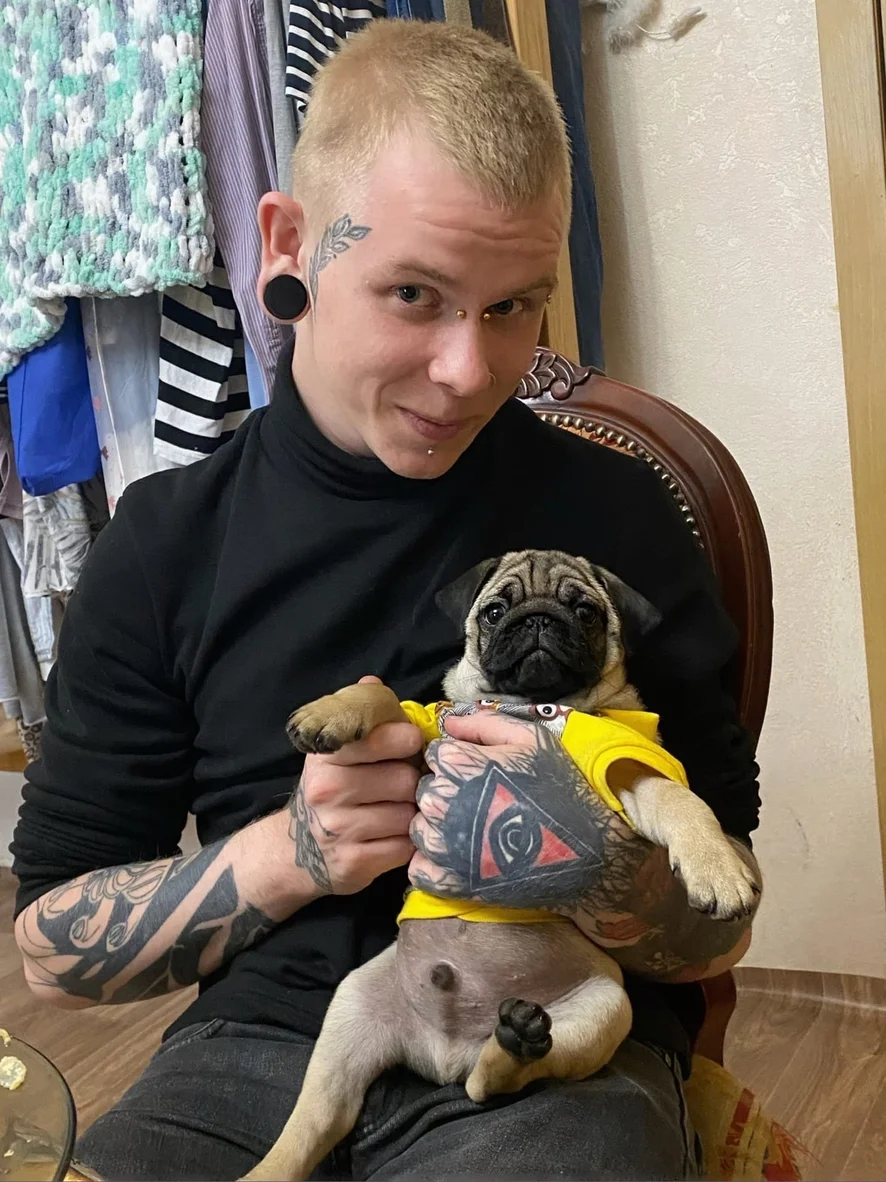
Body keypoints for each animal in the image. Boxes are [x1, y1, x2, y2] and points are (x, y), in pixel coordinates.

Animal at [242, 550, 760, 1181]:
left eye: (585, 611)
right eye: (494, 611)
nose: (537, 619)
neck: (528, 708)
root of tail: (443, 1051)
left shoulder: (626, 766)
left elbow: (678, 798)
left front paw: (717, 869)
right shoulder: (428, 746)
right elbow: (388, 698)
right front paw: (335, 709)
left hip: (606, 1009)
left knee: (492, 1083)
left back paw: (513, 1043)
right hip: (350, 1010)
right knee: (316, 1121)